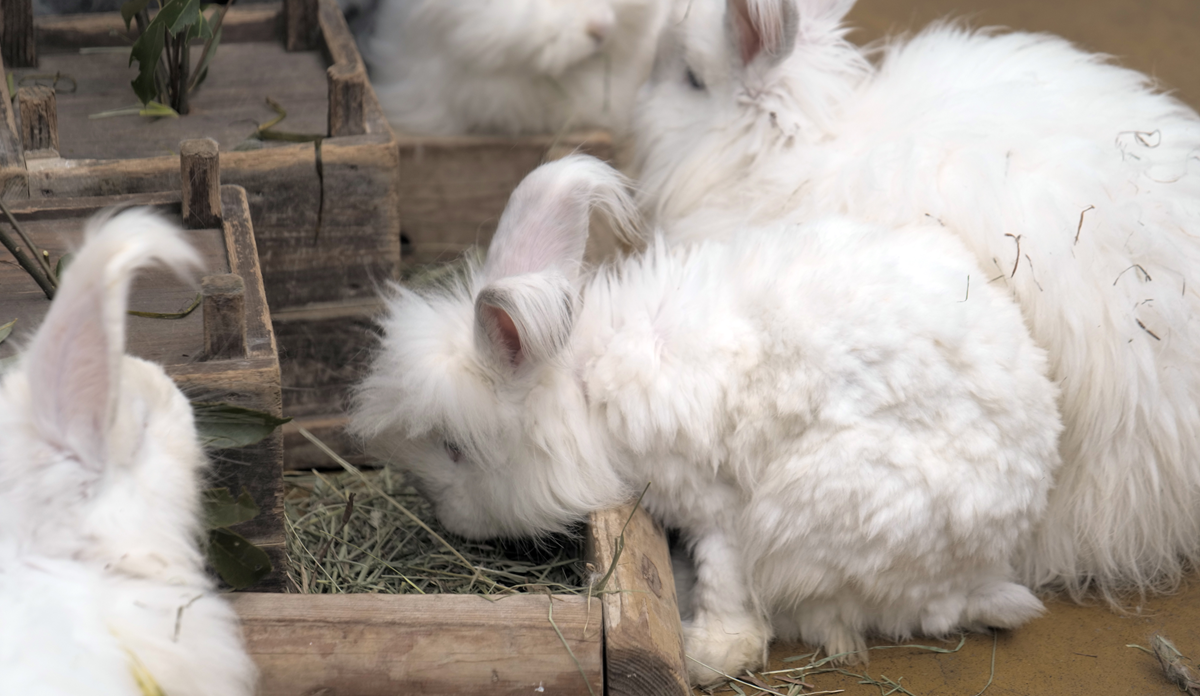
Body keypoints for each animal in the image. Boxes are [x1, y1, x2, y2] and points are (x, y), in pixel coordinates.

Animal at [351, 155, 1063, 683]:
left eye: (454, 449)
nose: (449, 520)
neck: (585, 384)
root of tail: (986, 570)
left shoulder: (714, 504)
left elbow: (729, 584)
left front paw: (706, 652)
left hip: (808, 515)